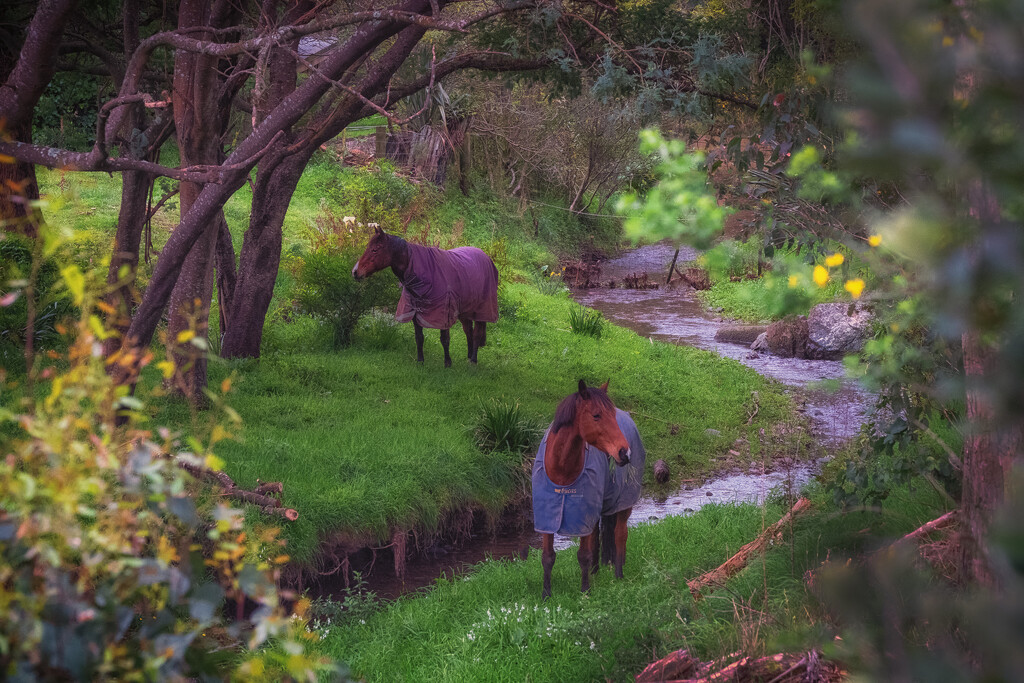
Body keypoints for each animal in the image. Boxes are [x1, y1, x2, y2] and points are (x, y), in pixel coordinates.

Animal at [350, 227, 497, 366]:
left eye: (375, 250)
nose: (355, 272)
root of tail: (484, 256)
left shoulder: (444, 313)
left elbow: (445, 339)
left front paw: (447, 363)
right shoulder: (415, 310)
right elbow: (419, 337)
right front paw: (420, 361)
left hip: (482, 309)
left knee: (477, 333)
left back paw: (473, 360)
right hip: (465, 309)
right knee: (468, 330)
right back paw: (469, 355)